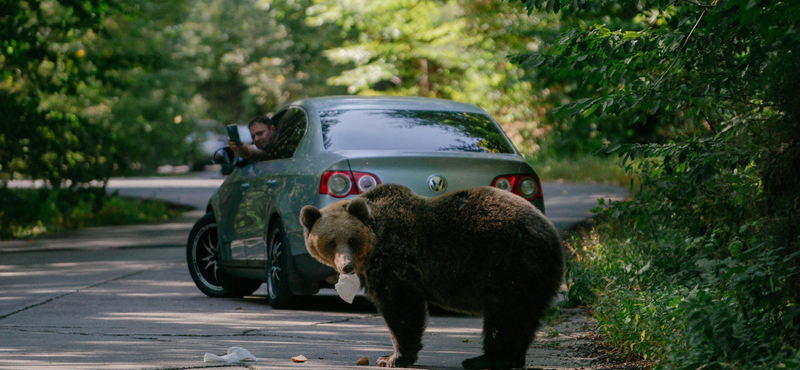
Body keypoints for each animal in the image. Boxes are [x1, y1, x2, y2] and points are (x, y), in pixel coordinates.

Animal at [298, 184, 564, 368]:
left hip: (509, 262)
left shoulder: (396, 259)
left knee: (505, 314)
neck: (373, 247)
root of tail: (552, 234)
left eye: (351, 239)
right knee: (523, 316)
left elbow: (401, 306)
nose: (346, 266)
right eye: (331, 242)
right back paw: (513, 358)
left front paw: (391, 357)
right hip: (531, 274)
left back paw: (484, 359)